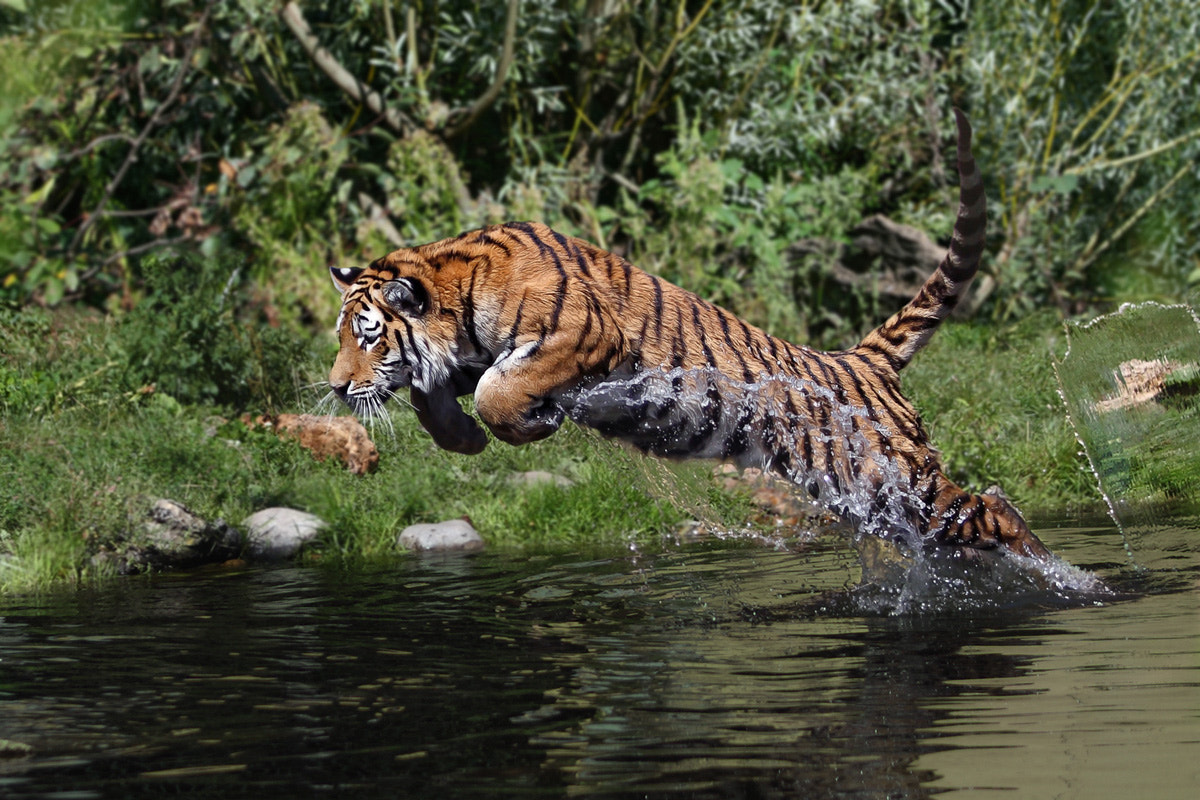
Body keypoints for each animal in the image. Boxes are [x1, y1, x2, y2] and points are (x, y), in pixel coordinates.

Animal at [328, 110, 1051, 563]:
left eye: (367, 337)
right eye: (342, 337)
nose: (335, 388)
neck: (454, 295)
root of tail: (859, 360)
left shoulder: (584, 335)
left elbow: (496, 391)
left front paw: (523, 425)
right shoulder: (458, 358)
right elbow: (433, 395)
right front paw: (466, 440)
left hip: (891, 477)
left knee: (993, 509)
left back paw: (1062, 581)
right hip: (870, 498)